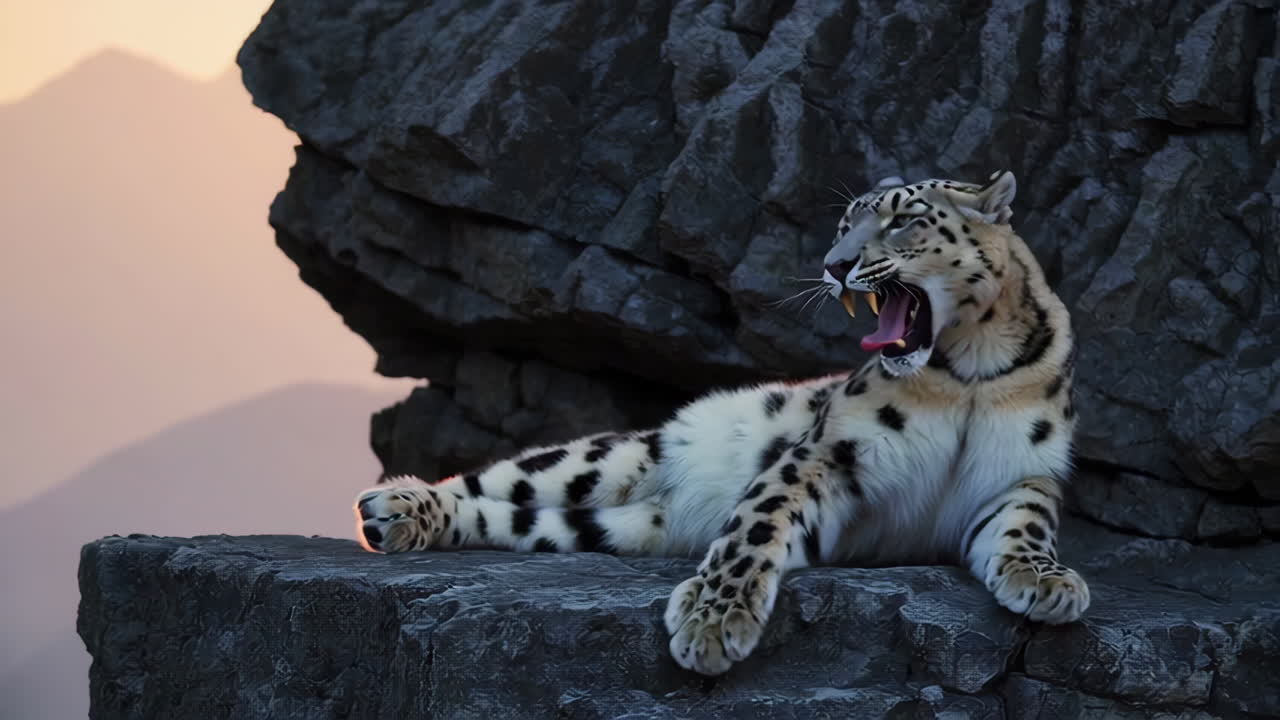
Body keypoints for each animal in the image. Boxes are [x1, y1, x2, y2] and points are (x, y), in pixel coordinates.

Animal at [353, 170, 1088, 676]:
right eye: (844, 225)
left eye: (905, 219)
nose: (835, 265)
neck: (967, 373)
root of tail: (671, 508)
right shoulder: (829, 452)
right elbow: (757, 525)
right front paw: (713, 623)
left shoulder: (1019, 475)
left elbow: (1024, 524)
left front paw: (1045, 581)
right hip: (617, 458)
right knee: (502, 479)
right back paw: (393, 507)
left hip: (610, 527)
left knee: (529, 521)